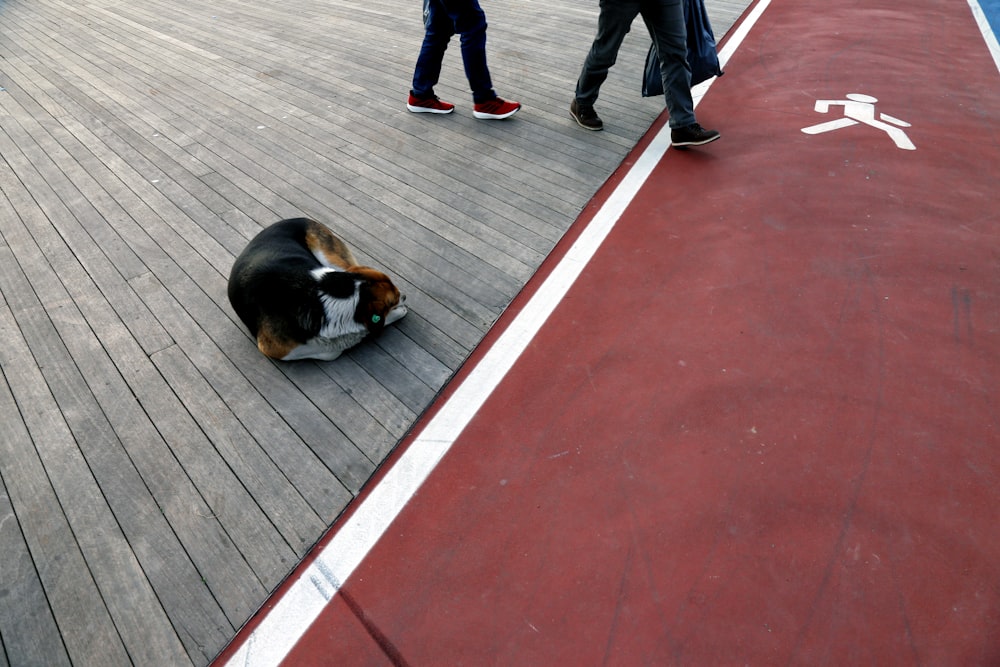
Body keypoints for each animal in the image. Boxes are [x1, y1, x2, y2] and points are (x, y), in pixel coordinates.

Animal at [229, 219, 408, 362]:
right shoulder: (274, 349)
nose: (405, 296)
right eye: (393, 299)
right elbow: (333, 351)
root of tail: (298, 218)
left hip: (330, 257)